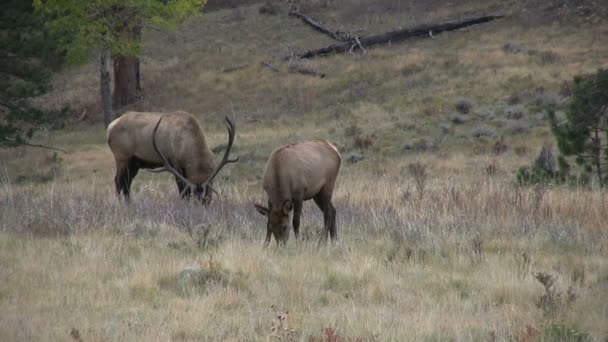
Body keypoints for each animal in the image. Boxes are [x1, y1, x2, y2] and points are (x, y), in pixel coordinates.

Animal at [105, 111, 239, 203]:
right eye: (196, 199)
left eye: (207, 199)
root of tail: (110, 127)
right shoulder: (175, 163)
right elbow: (182, 189)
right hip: (122, 157)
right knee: (118, 181)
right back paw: (119, 204)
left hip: (134, 163)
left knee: (127, 183)